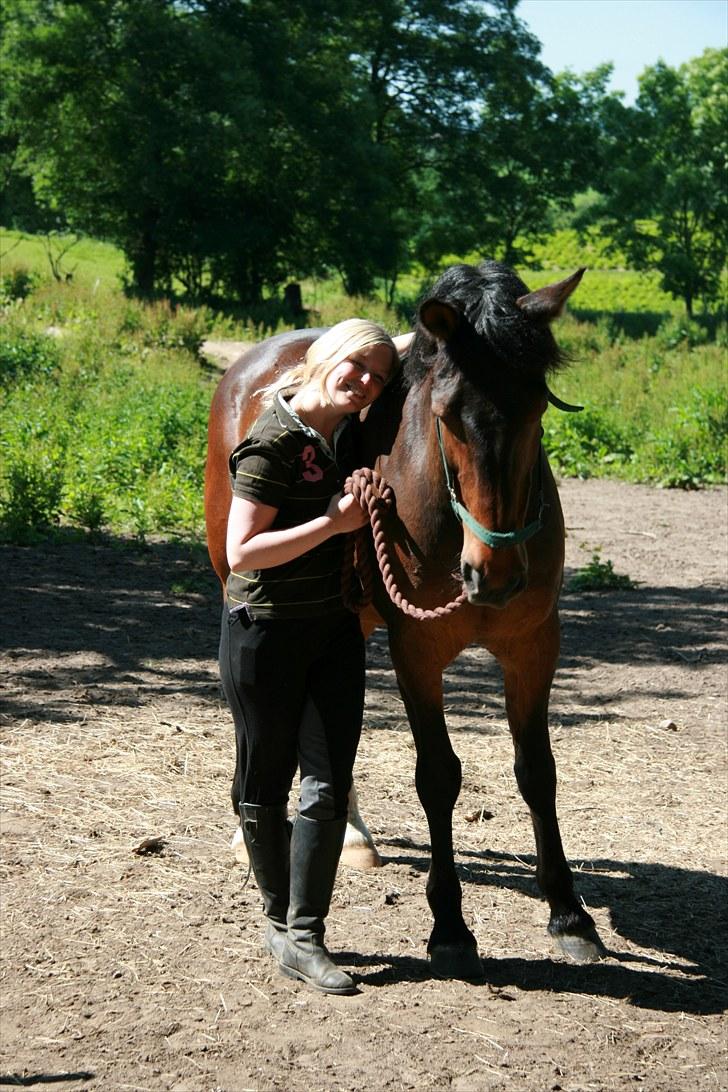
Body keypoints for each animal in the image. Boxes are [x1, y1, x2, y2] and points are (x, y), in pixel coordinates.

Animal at [206, 259, 611, 978]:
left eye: (537, 408)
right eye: (448, 416)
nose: (493, 574)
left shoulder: (534, 646)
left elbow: (538, 771)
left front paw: (570, 916)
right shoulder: (418, 650)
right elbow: (438, 776)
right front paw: (449, 927)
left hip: (353, 621)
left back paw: (352, 835)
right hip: (237, 584)